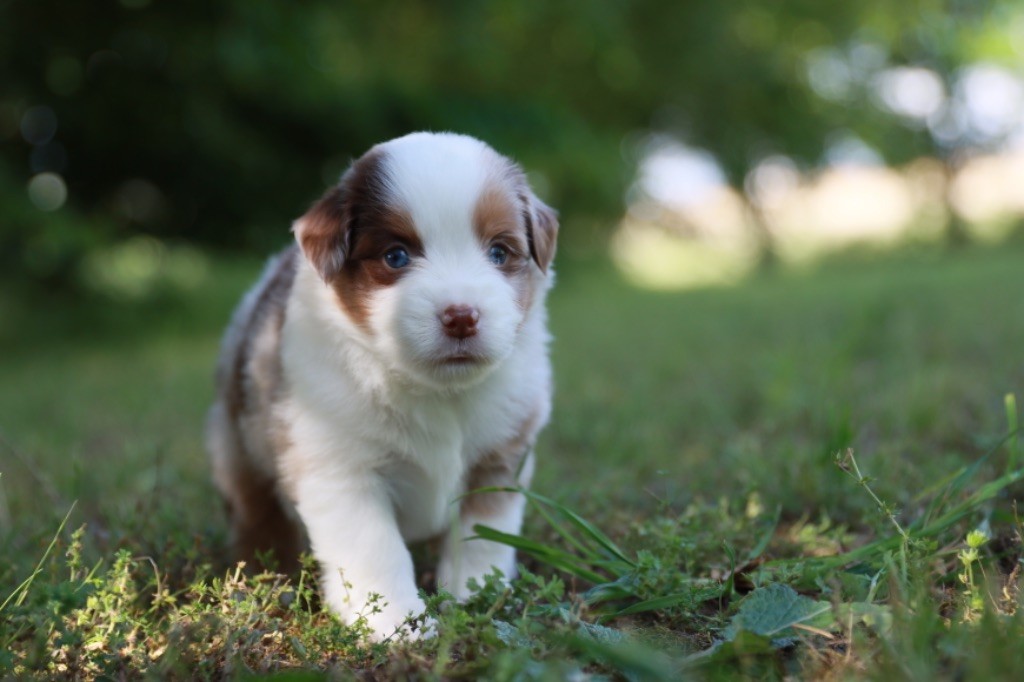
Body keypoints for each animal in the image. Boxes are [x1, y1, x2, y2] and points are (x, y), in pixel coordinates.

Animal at [204, 133, 557, 638]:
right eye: (396, 256)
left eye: (499, 253)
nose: (462, 316)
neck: (436, 391)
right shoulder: (340, 467)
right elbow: (375, 549)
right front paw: (397, 624)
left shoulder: (500, 458)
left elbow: (482, 538)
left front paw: (475, 596)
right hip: (240, 448)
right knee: (257, 517)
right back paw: (263, 583)